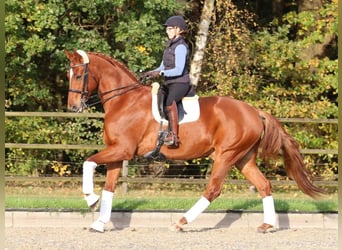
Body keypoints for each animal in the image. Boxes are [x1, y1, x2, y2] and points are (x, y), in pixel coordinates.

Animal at [64, 49, 324, 233]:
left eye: (79, 75)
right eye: (69, 75)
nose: (73, 107)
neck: (124, 100)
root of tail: (254, 111)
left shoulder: (122, 150)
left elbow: (88, 163)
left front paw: (90, 199)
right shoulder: (117, 153)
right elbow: (109, 188)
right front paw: (99, 221)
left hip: (226, 155)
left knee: (213, 189)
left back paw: (181, 222)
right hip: (244, 159)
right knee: (264, 185)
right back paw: (266, 225)